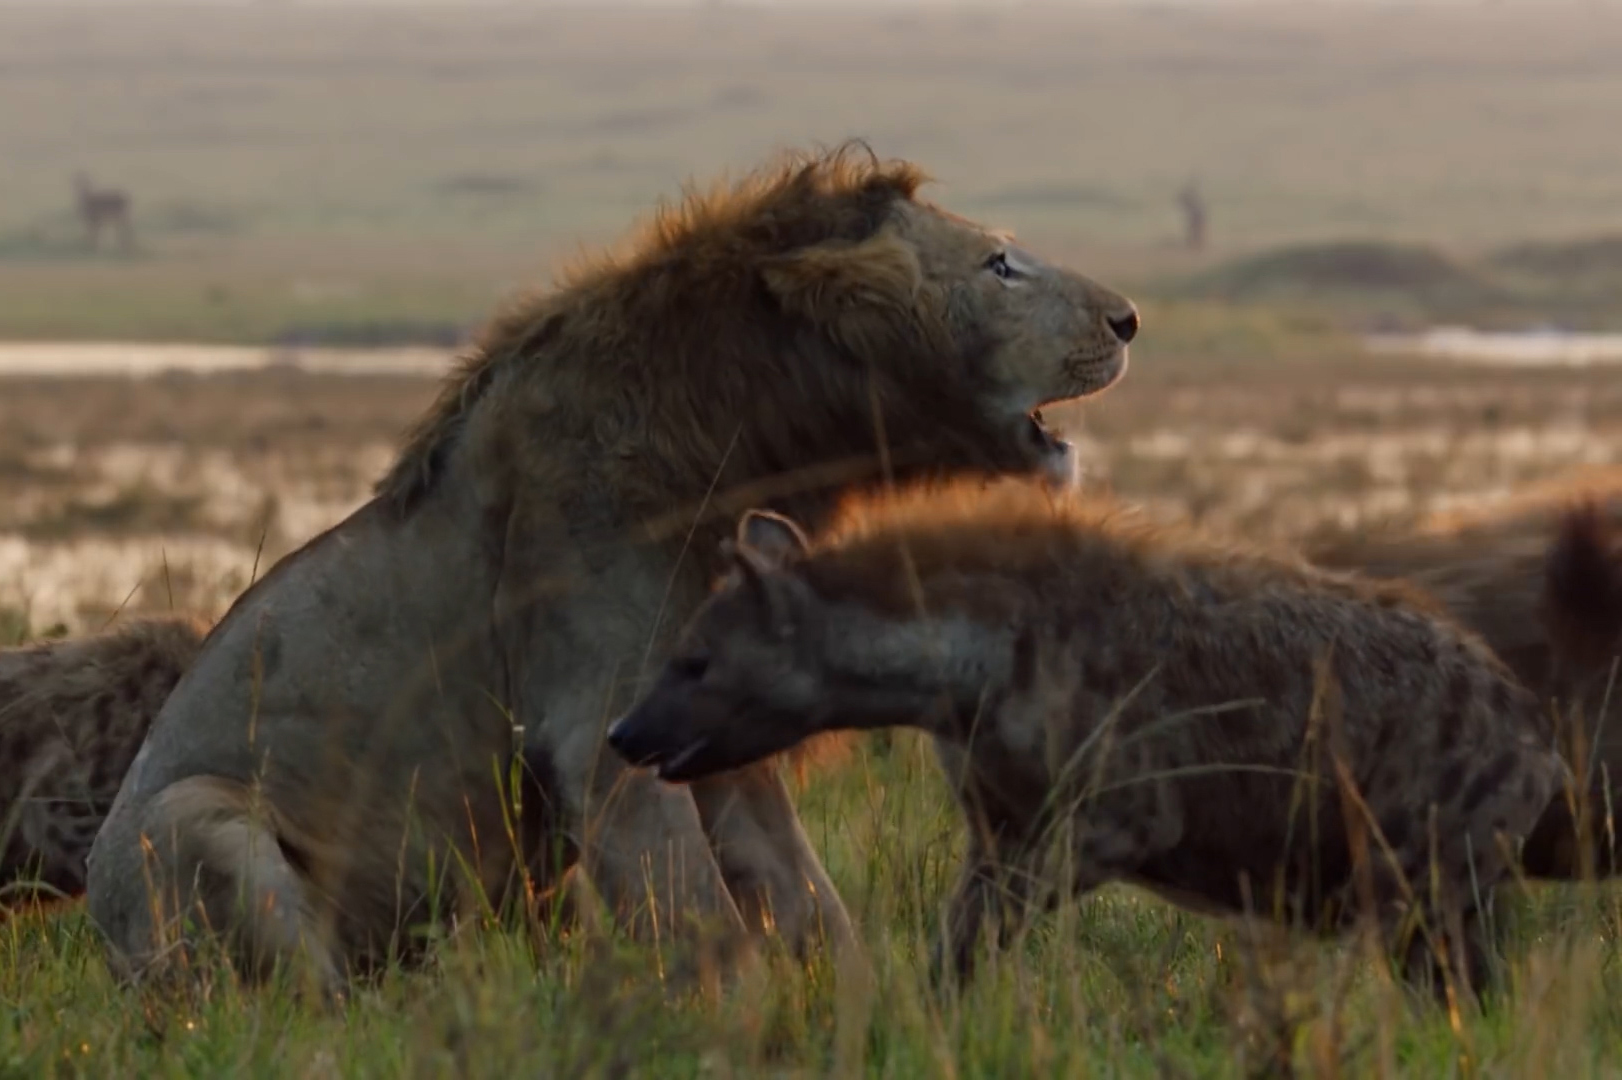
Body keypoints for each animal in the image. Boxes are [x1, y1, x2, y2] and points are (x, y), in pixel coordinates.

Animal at [79, 141, 1141, 985]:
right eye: (1000, 265)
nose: (1131, 318)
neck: (743, 442)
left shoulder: (720, 725)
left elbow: (809, 905)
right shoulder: (597, 734)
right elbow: (703, 923)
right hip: (193, 818)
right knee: (306, 997)